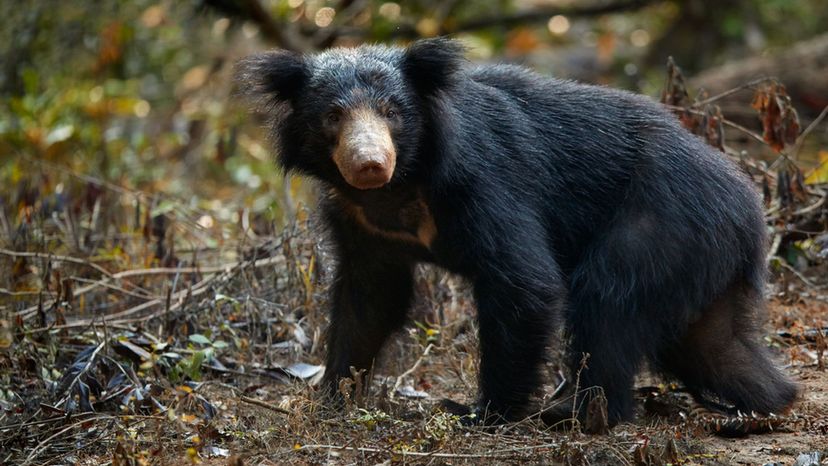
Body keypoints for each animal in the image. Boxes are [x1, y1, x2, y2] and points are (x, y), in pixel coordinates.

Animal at [236, 38, 800, 428]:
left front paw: (481, 413)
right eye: (333, 117)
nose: (369, 163)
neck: (401, 187)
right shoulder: (360, 222)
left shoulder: (484, 182)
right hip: (696, 255)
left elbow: (522, 282)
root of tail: (750, 207)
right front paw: (333, 396)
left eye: (393, 113)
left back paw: (578, 412)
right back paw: (768, 401)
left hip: (657, 224)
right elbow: (369, 300)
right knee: (712, 343)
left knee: (608, 302)